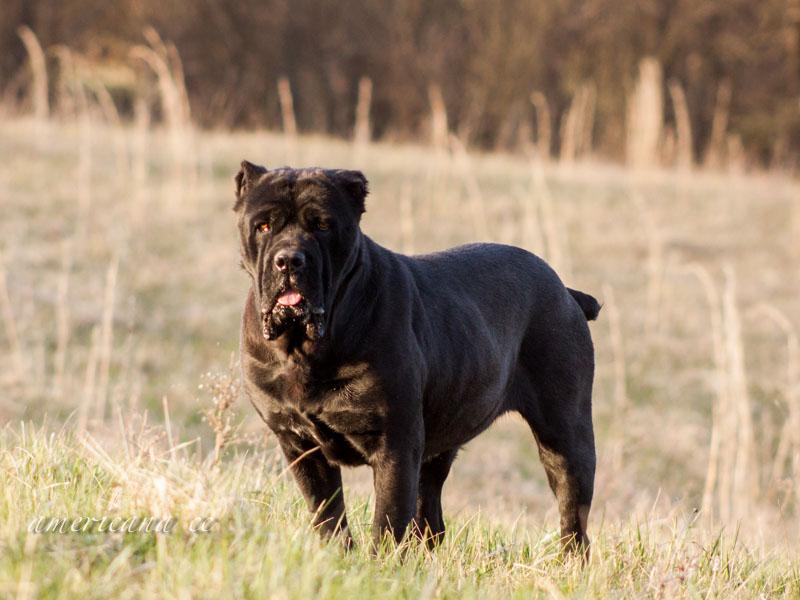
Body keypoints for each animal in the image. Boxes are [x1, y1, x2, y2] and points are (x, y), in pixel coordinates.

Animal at [234, 161, 600, 552]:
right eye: (263, 225)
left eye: (322, 225)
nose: (288, 260)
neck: (306, 350)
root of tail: (566, 292)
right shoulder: (300, 446)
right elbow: (328, 516)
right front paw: (338, 556)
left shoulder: (395, 443)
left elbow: (387, 520)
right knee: (430, 517)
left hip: (566, 436)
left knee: (573, 519)